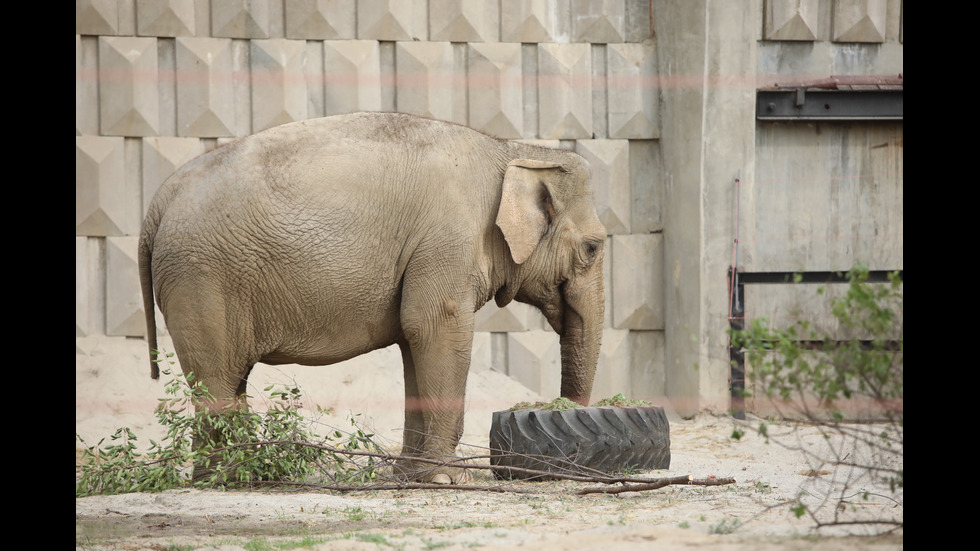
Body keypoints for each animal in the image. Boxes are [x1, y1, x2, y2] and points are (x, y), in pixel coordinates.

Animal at [138, 111, 604, 484]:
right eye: (593, 248)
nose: (560, 406)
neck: (513, 150)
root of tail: (157, 201)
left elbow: (415, 340)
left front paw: (411, 475)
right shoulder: (447, 241)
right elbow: (436, 326)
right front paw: (446, 479)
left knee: (232, 378)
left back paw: (250, 474)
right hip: (200, 279)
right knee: (216, 379)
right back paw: (229, 479)